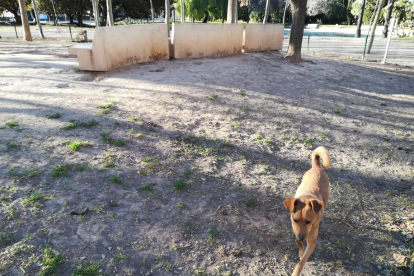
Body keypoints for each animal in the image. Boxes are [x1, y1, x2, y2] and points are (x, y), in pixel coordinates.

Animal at [284, 147, 332, 276]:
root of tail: (317, 167)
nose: (301, 238)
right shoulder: (295, 229)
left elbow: (301, 263)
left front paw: (296, 272)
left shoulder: (311, 244)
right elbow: (299, 245)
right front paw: (300, 251)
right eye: (295, 220)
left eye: (308, 221)